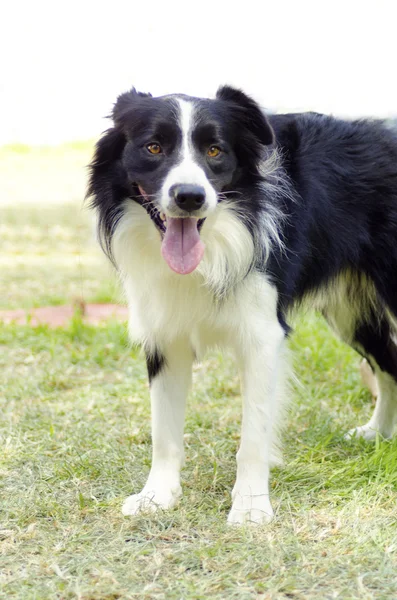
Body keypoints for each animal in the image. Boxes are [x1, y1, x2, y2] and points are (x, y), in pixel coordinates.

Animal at [87, 85, 396, 524]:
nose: (190, 197)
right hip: (349, 312)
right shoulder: (165, 335)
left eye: (215, 150)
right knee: (388, 362)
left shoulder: (262, 334)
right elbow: (163, 431)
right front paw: (157, 496)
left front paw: (250, 507)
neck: (214, 242)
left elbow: (253, 435)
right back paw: (377, 433)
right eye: (153, 147)